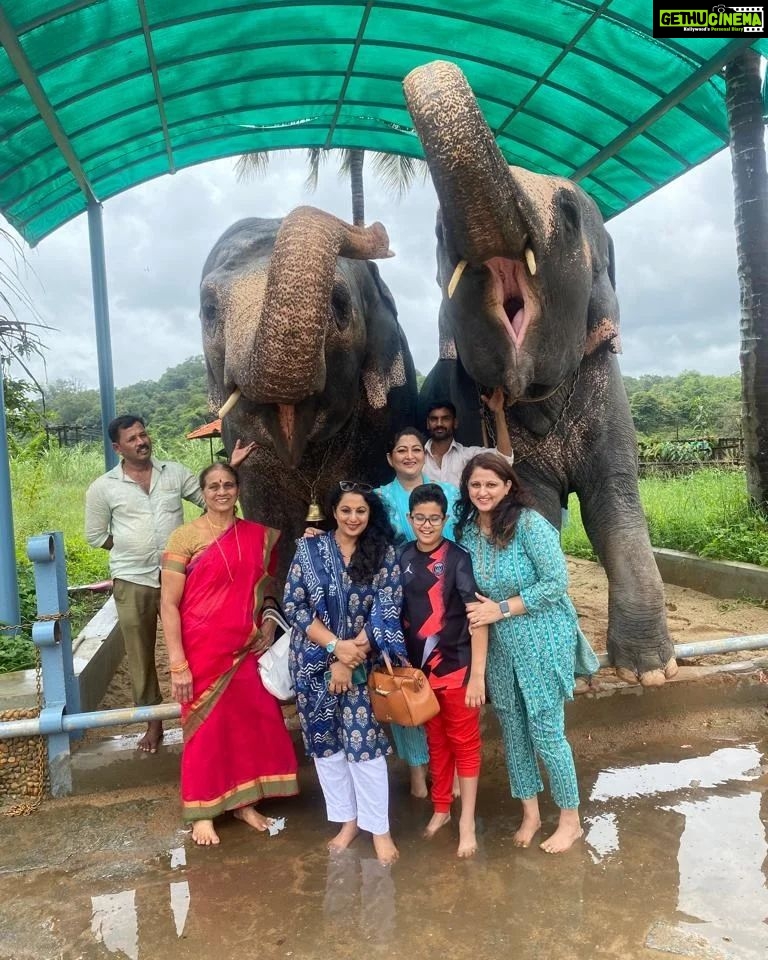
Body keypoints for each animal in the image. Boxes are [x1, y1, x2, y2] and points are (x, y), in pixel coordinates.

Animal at [404, 60, 676, 688]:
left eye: (571, 216)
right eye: (438, 235)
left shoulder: (606, 386)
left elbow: (614, 498)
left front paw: (651, 673)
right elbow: (540, 507)